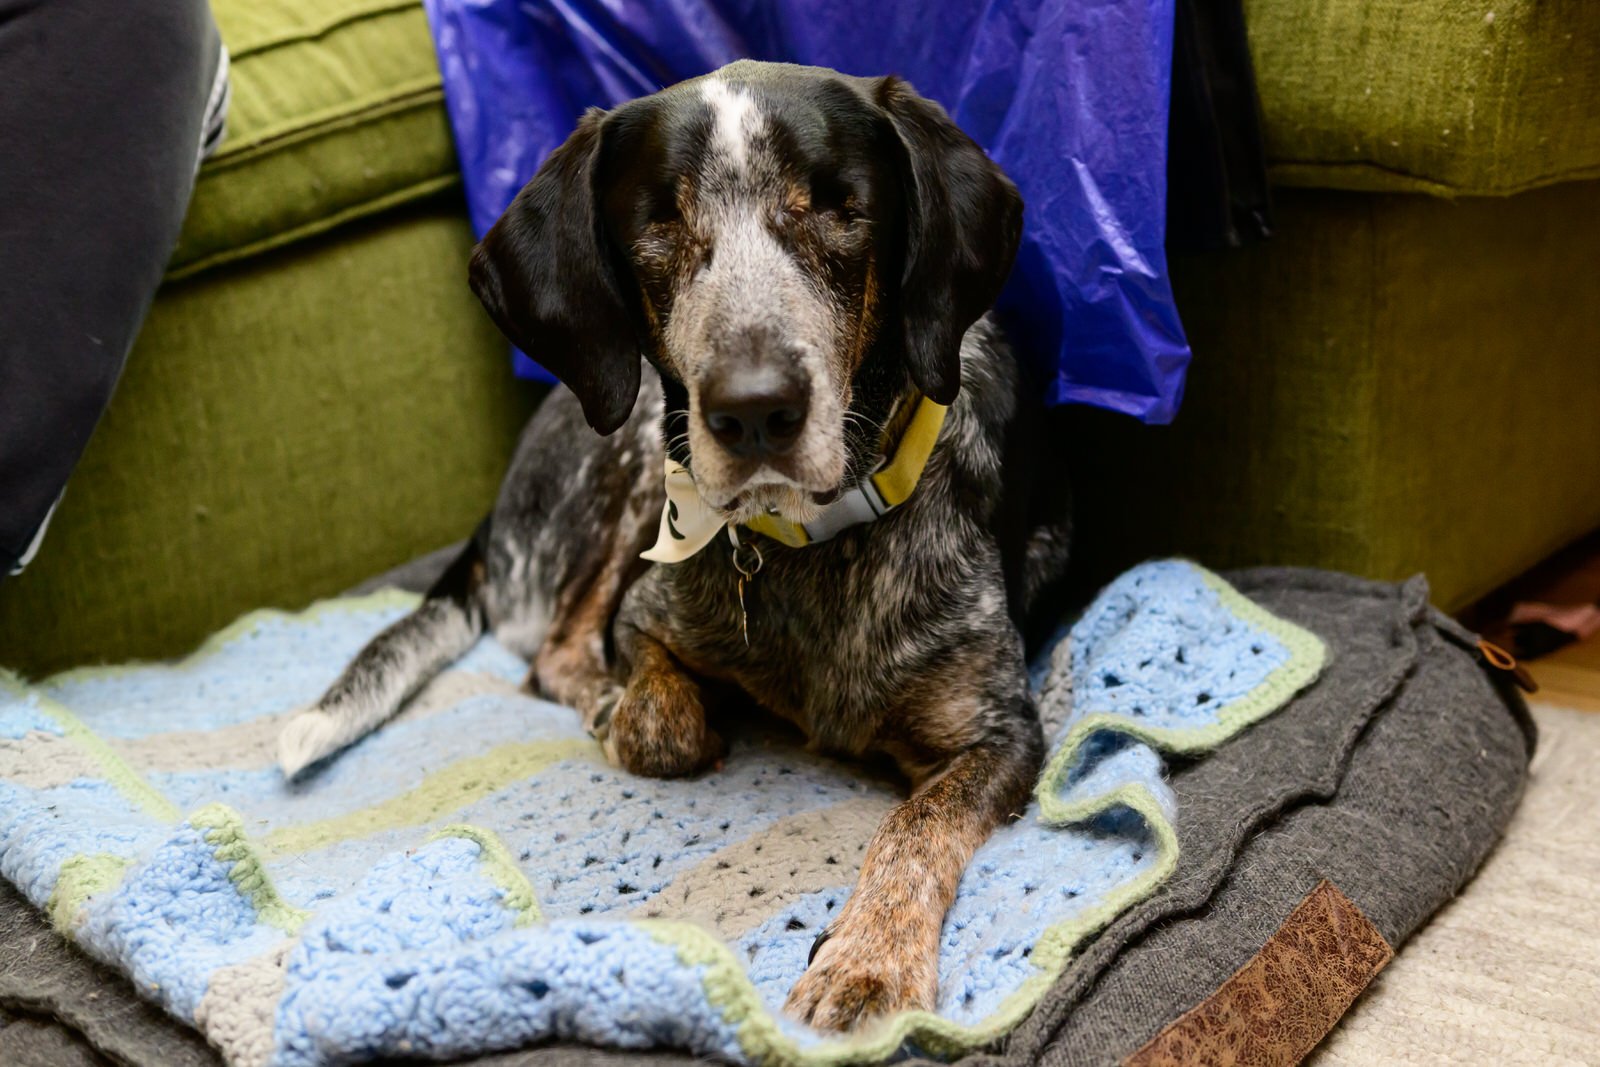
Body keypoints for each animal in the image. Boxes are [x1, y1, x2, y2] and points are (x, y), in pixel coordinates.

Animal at [276, 60, 1068, 1036]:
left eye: (839, 205)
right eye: (658, 221)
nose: (754, 409)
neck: (808, 545)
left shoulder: (1001, 733)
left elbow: (917, 828)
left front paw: (868, 963)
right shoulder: (646, 617)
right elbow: (662, 721)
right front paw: (637, 709)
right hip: (634, 452)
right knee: (553, 648)